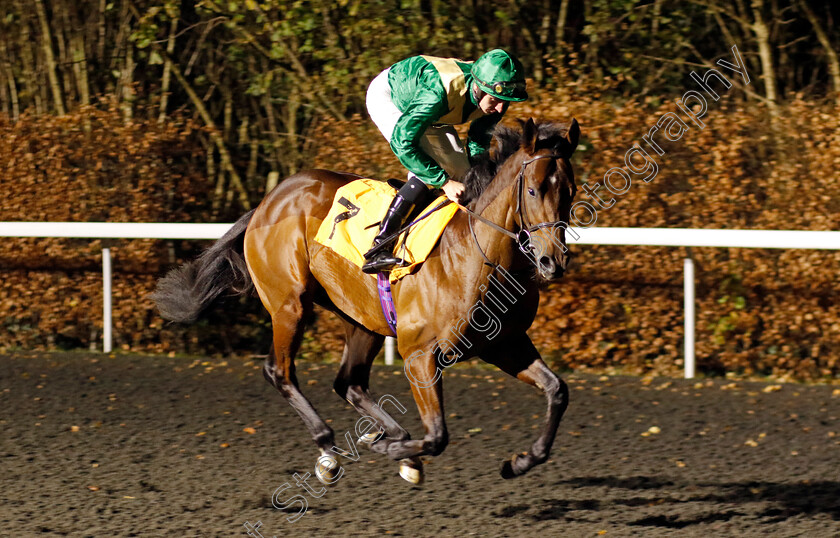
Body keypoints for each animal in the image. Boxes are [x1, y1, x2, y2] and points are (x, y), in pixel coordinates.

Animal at [154, 117, 580, 482]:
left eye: (570, 191)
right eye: (532, 189)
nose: (552, 261)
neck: (475, 255)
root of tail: (268, 201)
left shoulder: (505, 344)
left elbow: (557, 390)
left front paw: (520, 461)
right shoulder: (420, 355)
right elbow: (437, 435)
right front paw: (393, 451)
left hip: (361, 318)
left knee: (349, 383)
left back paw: (388, 437)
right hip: (290, 306)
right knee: (280, 371)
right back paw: (330, 447)